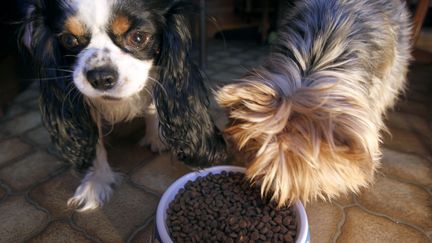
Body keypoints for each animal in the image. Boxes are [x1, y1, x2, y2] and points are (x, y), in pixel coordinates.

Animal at [22, 0, 228, 212]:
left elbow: (152, 104)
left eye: (138, 37)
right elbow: (95, 143)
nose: (100, 77)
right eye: (69, 40)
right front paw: (97, 181)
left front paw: (156, 137)